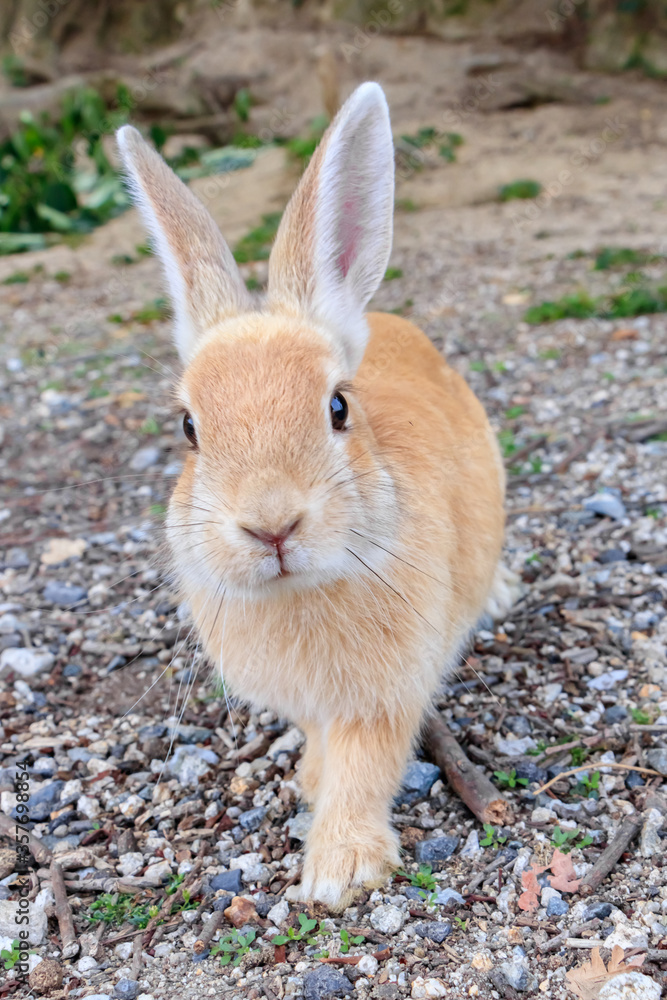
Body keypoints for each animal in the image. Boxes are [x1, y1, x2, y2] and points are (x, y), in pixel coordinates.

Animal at [116, 81, 508, 909]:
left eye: (337, 408)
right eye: (188, 429)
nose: (271, 525)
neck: (301, 589)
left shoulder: (382, 698)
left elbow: (366, 765)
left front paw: (340, 871)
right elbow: (324, 743)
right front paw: (308, 777)